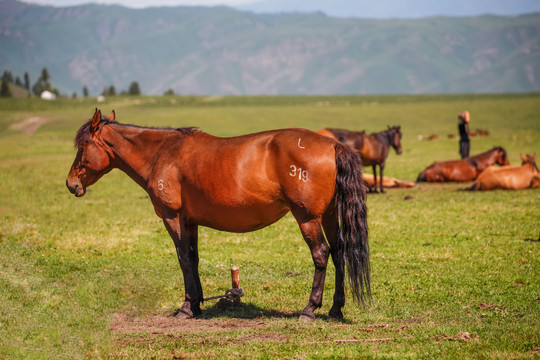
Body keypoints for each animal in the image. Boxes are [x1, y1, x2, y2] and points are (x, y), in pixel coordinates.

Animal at [66, 109, 372, 320]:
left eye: (81, 147)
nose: (71, 184)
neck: (161, 153)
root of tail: (333, 145)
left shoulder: (172, 217)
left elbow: (183, 259)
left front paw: (187, 307)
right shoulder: (189, 221)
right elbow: (194, 259)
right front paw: (197, 303)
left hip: (307, 218)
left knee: (321, 254)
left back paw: (310, 309)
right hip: (329, 215)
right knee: (339, 252)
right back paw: (335, 309)